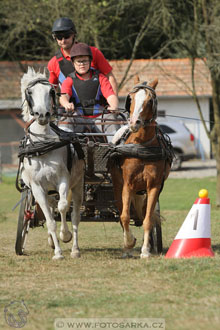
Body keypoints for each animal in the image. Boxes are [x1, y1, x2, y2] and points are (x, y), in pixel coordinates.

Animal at [20, 66, 84, 258]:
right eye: (30, 92)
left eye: (51, 91)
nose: (42, 114)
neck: (43, 146)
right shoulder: (37, 188)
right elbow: (49, 219)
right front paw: (57, 252)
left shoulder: (63, 179)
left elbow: (63, 208)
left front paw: (65, 235)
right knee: (48, 208)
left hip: (78, 184)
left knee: (75, 216)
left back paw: (75, 249)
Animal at [109, 77, 173, 258]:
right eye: (130, 98)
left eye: (150, 100)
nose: (134, 123)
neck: (141, 146)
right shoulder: (127, 185)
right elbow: (124, 216)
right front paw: (129, 243)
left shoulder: (153, 186)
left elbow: (148, 218)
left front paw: (145, 250)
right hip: (118, 186)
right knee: (122, 212)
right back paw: (127, 247)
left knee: (144, 213)